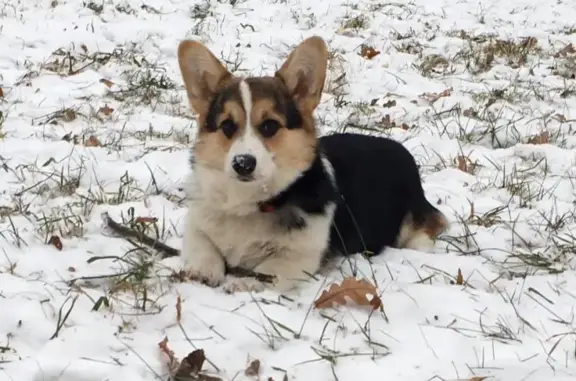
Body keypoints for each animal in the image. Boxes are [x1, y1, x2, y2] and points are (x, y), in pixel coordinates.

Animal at [178, 35, 448, 292]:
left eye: (269, 126)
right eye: (227, 126)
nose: (242, 163)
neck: (251, 201)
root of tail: (402, 151)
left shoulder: (301, 256)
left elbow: (269, 269)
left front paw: (246, 282)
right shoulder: (197, 226)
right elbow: (203, 246)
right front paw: (202, 270)